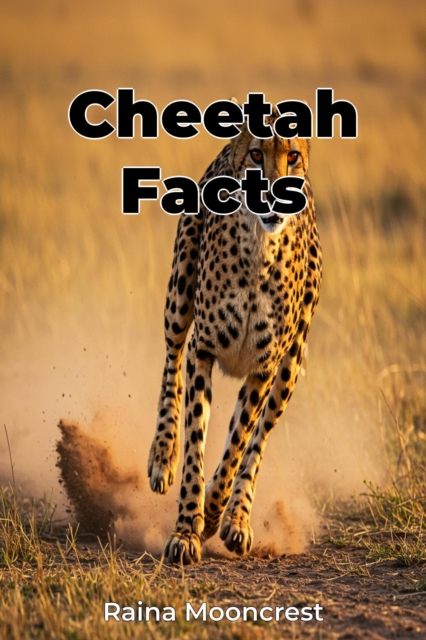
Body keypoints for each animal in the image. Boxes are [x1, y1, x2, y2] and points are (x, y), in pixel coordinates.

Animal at [147, 104, 322, 564]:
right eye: (257, 155)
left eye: (292, 156)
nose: (275, 196)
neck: (259, 248)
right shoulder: (203, 350)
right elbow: (196, 443)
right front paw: (186, 529)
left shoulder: (264, 368)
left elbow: (239, 445)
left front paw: (212, 513)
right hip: (179, 298)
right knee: (170, 365)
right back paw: (161, 457)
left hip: (292, 366)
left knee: (258, 443)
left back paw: (236, 518)